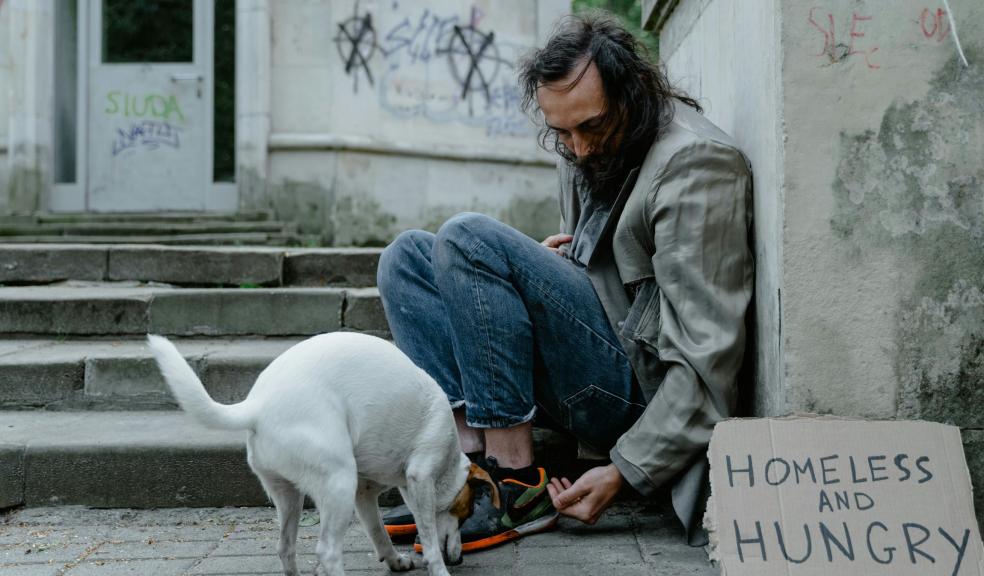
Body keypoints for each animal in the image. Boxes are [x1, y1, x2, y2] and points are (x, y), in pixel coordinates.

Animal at [147, 332, 496, 576]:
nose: (459, 559)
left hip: (291, 495)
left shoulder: (364, 493)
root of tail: (258, 405)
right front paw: (439, 568)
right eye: (466, 512)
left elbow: (378, 532)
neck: (449, 461)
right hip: (338, 482)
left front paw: (395, 560)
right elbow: (430, 539)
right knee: (327, 550)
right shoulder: (420, 477)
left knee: (285, 546)